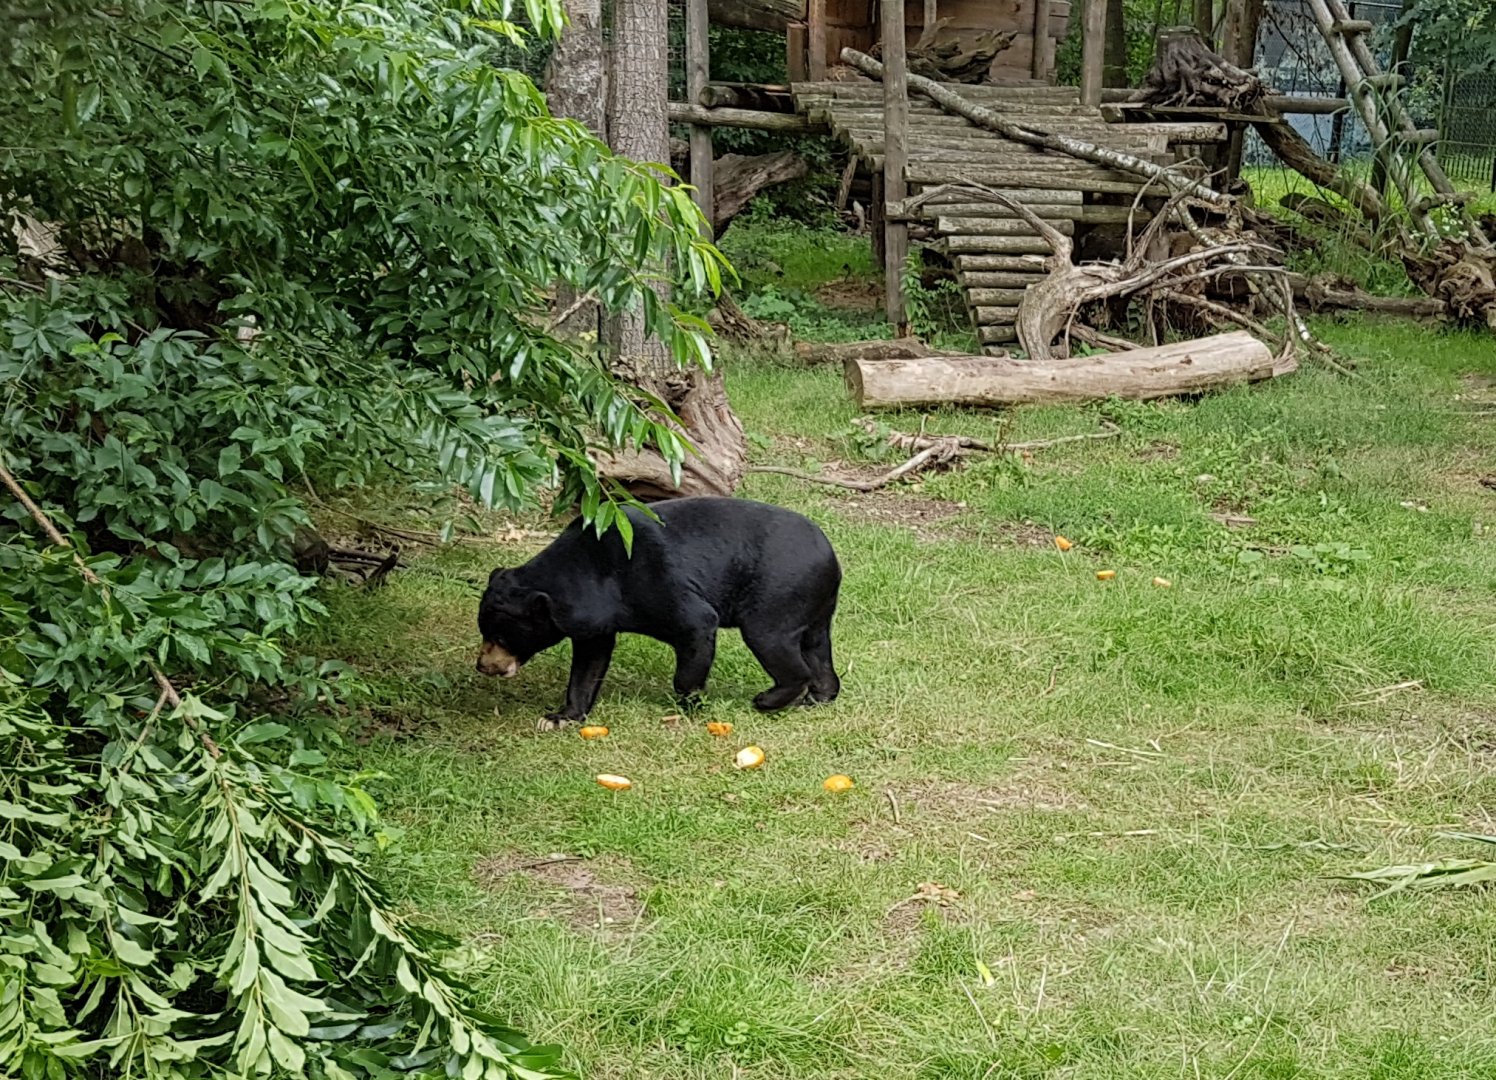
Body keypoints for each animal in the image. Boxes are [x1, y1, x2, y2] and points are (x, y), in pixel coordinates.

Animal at [476, 495, 841, 730]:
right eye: (485, 633)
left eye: (501, 637)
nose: (483, 666)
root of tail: (831, 557)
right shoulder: (594, 620)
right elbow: (589, 665)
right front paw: (560, 718)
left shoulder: (656, 581)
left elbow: (696, 625)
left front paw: (690, 703)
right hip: (812, 607)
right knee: (818, 650)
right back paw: (820, 696)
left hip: (775, 596)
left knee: (774, 644)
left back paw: (768, 699)